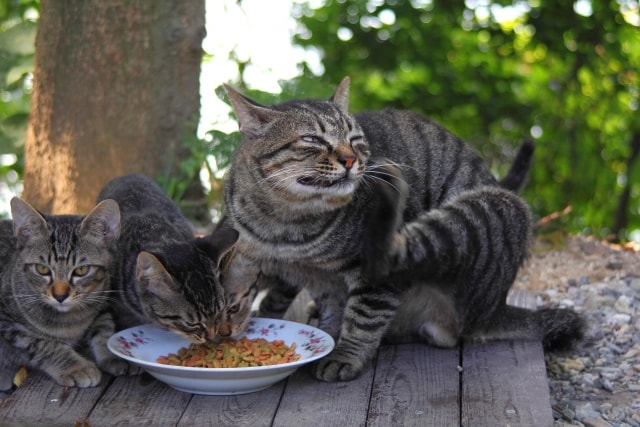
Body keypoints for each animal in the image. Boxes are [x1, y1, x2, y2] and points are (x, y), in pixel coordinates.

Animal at [0, 196, 134, 390]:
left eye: (81, 270)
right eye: (42, 269)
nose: (60, 295)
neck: (69, 321)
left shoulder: (103, 300)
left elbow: (104, 326)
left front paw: (113, 354)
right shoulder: (10, 326)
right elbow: (43, 344)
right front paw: (76, 367)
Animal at [220, 78, 584, 382]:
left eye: (355, 140)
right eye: (312, 139)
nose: (351, 159)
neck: (285, 225)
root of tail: (497, 308)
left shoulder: (372, 281)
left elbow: (363, 318)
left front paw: (344, 355)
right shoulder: (310, 277)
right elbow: (326, 309)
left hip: (484, 211)